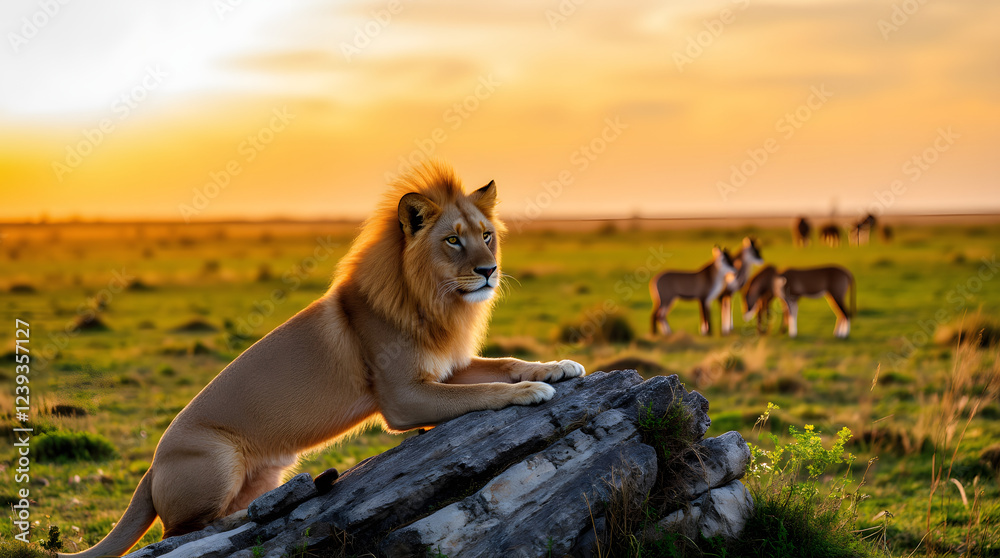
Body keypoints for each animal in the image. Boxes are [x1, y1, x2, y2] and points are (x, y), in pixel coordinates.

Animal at [64, 161, 585, 557]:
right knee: (183, 531)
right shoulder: (403, 399)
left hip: (264, 469)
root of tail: (152, 466)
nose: (488, 271)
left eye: (487, 235)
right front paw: (532, 391)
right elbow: (485, 390)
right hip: (217, 458)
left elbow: (502, 364)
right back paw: (263, 511)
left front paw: (559, 367)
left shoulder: (447, 367)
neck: (437, 301)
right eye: (453, 240)